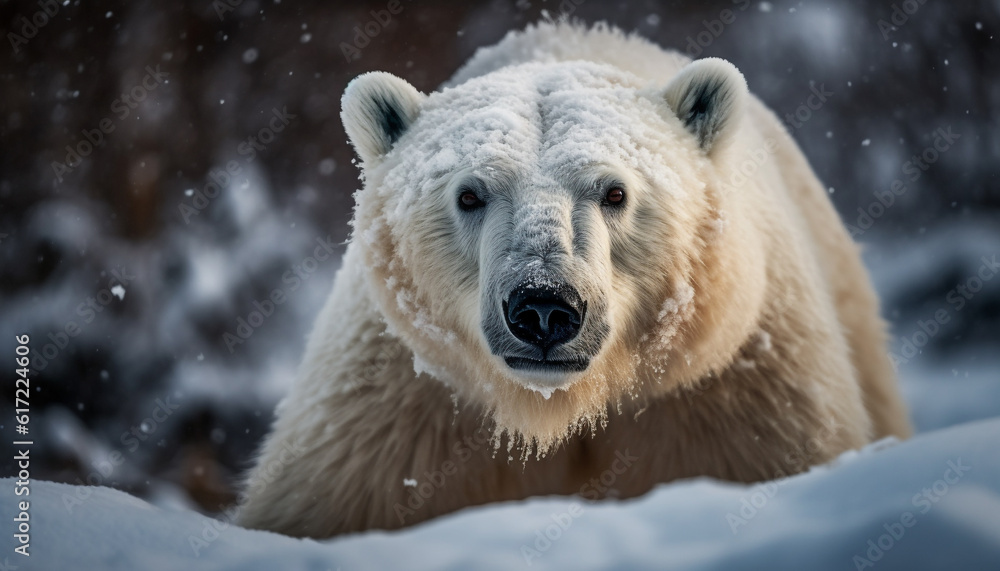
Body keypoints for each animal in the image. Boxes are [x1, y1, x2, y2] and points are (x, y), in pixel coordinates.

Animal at [238, 20, 912, 540]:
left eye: (615, 192)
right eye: (469, 194)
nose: (543, 308)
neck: (558, 409)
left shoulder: (731, 393)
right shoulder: (400, 413)